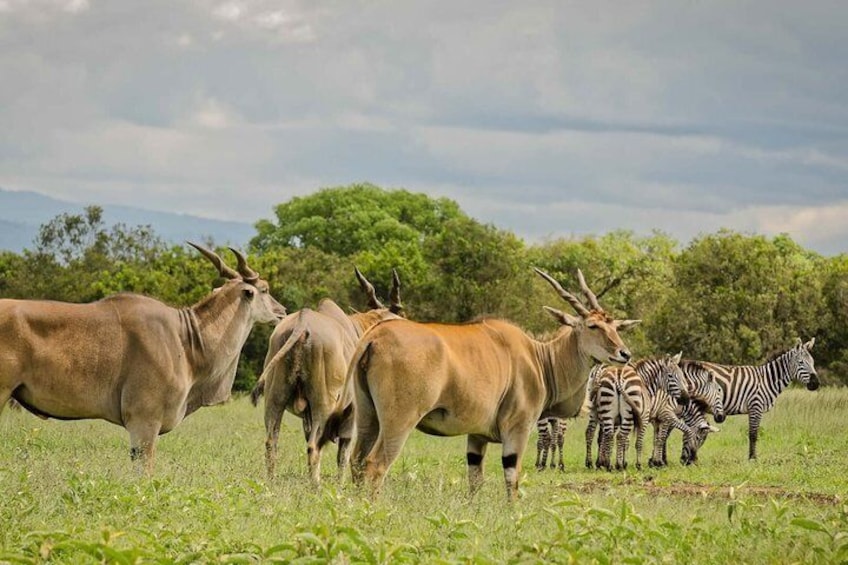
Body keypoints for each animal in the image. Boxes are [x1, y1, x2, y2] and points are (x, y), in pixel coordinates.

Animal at [679, 338, 818, 461]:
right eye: (801, 362)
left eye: (813, 362)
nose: (816, 384)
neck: (767, 380)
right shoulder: (755, 406)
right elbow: (753, 434)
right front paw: (752, 458)